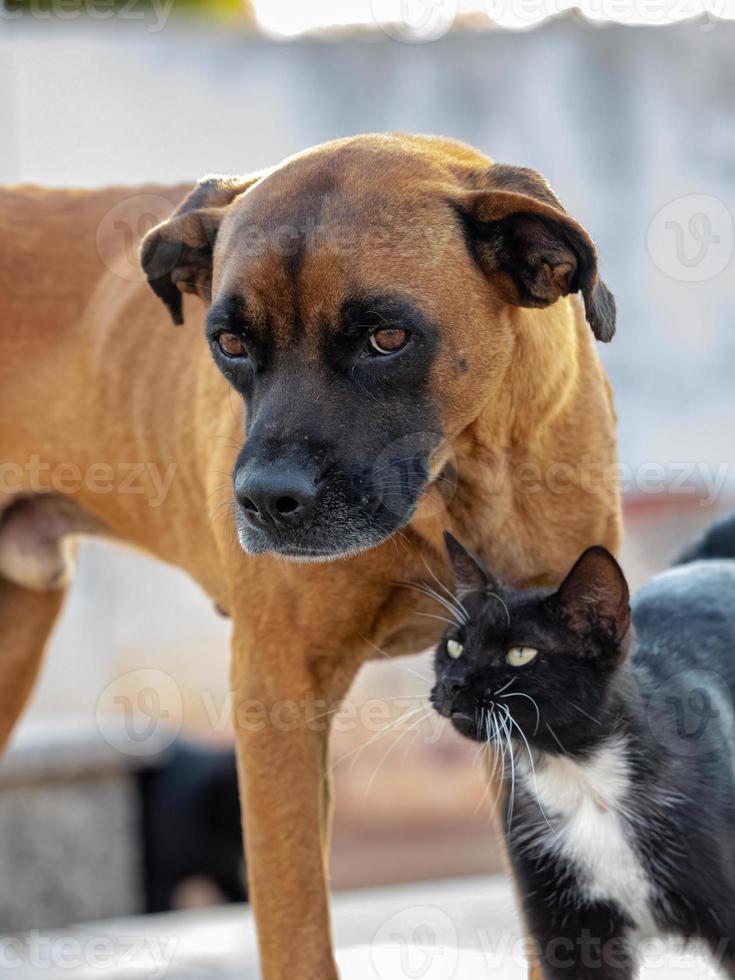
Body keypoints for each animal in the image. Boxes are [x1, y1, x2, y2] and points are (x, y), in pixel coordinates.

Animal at [0, 134, 620, 976]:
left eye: (386, 338)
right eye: (229, 343)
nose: (264, 500)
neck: (455, 479)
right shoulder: (278, 696)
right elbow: (295, 926)